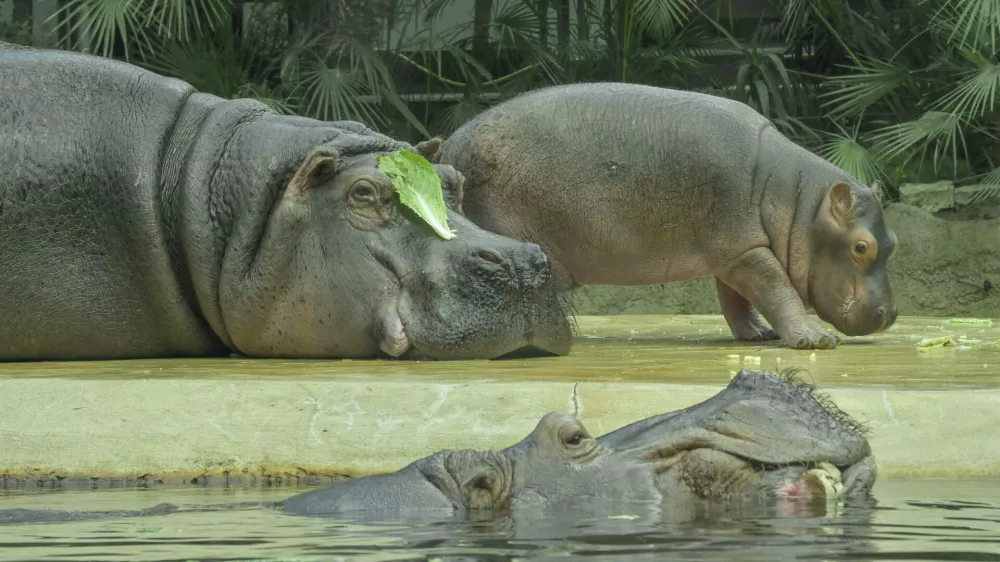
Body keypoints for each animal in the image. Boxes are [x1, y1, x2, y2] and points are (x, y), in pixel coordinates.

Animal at [437, 83, 900, 350]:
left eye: (893, 242)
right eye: (861, 247)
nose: (892, 315)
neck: (799, 200)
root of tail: (449, 144)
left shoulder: (737, 249)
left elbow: (737, 299)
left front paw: (758, 335)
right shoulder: (746, 250)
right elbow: (776, 288)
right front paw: (815, 341)